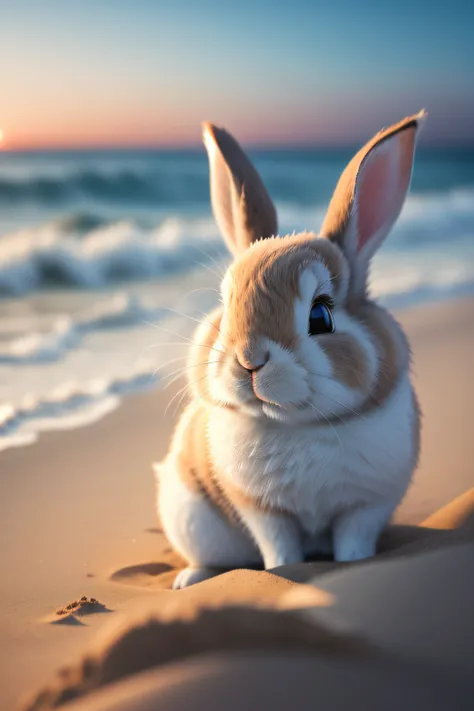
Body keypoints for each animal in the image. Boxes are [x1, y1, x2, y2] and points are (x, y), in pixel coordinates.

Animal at [156, 111, 426, 588]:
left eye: (320, 316)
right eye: (225, 307)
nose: (250, 360)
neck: (298, 423)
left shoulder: (364, 507)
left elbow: (353, 546)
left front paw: (354, 567)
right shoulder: (266, 514)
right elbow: (279, 552)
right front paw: (283, 573)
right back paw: (188, 580)